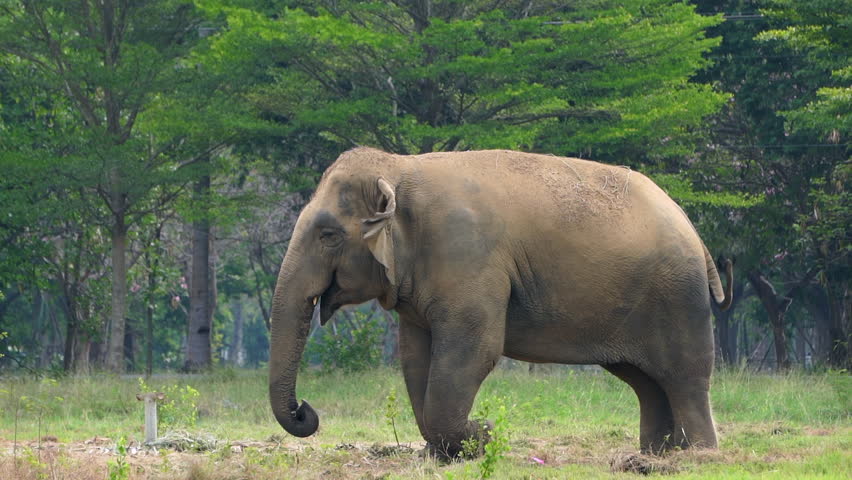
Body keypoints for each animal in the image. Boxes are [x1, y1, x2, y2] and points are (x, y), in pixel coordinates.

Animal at [269, 147, 733, 458]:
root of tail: (691, 227)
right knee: (645, 381)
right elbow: (416, 356)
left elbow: (473, 351)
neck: (400, 166)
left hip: (677, 295)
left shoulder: (468, 255)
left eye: (329, 235)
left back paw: (697, 457)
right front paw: (446, 453)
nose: (305, 410)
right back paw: (655, 457)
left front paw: (484, 435)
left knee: (684, 376)